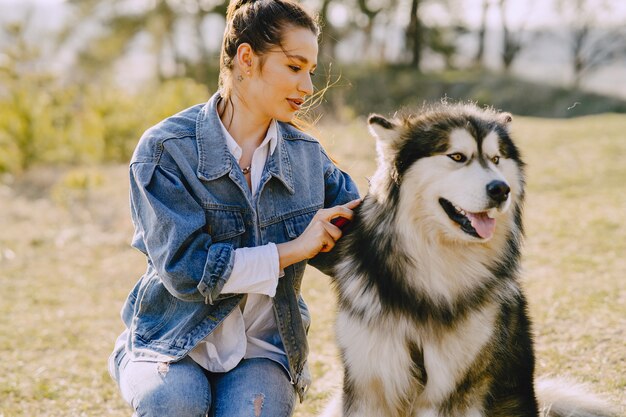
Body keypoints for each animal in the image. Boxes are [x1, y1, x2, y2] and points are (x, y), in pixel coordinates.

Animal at [322, 103, 616, 416]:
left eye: (496, 159)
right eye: (457, 156)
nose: (501, 189)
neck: (433, 269)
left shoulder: (458, 389)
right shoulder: (370, 385)